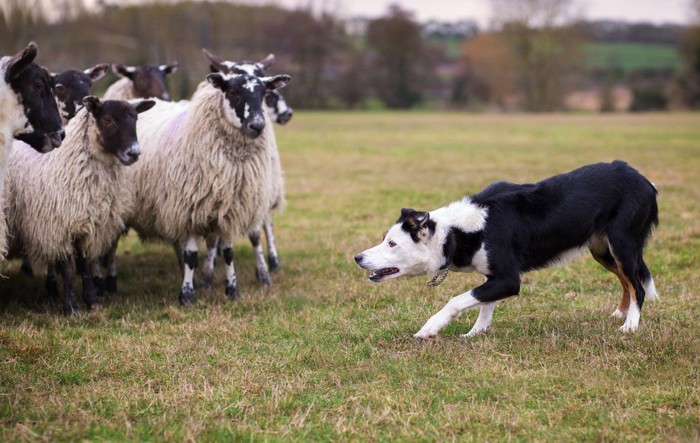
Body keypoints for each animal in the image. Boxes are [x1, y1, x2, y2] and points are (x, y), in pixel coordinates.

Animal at [2, 97, 156, 314]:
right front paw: (71, 308)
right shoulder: (62, 226)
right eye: (107, 119)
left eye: (135, 118)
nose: (134, 153)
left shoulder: (88, 226)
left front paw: (92, 301)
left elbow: (85, 266)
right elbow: (67, 268)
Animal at [123, 70, 290, 306]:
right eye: (233, 92)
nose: (257, 125)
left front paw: (233, 291)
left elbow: (228, 252)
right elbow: (191, 255)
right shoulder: (190, 208)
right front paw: (186, 295)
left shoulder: (230, 210)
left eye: (263, 93)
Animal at [352, 161, 660, 338]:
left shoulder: (508, 280)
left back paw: (630, 325)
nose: (357, 257)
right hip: (603, 250)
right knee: (627, 281)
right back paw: (621, 313)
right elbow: (483, 303)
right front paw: (476, 333)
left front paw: (430, 328)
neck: (458, 232)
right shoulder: (494, 277)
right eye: (384, 238)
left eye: (392, 244)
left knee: (638, 286)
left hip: (622, 242)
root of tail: (645, 180)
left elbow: (457, 300)